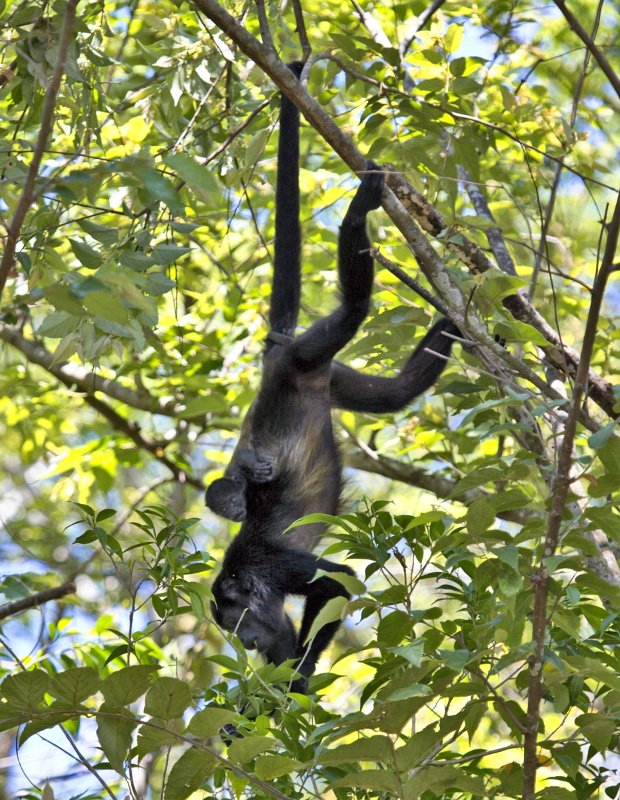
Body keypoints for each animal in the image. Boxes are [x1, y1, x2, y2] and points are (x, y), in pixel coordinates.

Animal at [206, 62, 458, 692]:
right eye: (231, 631)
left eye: (236, 616)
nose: (246, 643)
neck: (247, 573)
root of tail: (279, 360)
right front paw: (272, 689)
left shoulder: (271, 564)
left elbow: (338, 579)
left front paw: (298, 672)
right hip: (331, 374)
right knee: (397, 393)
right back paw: (459, 317)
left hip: (308, 356)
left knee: (353, 310)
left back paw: (360, 210)